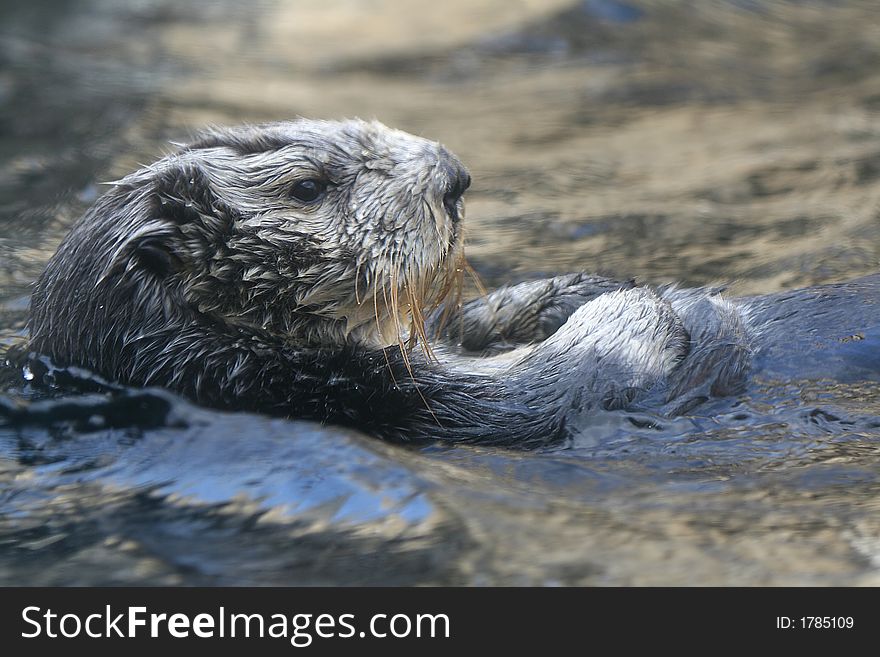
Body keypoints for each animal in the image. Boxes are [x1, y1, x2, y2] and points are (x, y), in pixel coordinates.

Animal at [24, 119, 880, 446]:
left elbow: (464, 324)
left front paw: (572, 290)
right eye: (307, 187)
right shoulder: (390, 403)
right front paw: (650, 306)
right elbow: (553, 387)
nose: (453, 174)